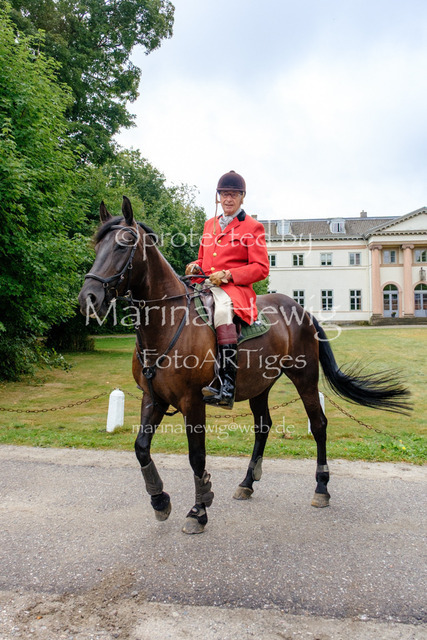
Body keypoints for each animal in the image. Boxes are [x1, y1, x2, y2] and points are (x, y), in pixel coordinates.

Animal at [78, 197, 410, 534]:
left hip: (304, 377)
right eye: (97, 245)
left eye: (124, 244)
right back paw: (248, 482)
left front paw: (199, 509)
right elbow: (141, 447)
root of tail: (301, 309)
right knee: (263, 426)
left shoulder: (191, 401)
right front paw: (160, 501)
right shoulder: (153, 397)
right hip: (259, 384)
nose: (88, 298)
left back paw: (321, 488)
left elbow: (197, 457)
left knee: (318, 425)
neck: (168, 323)